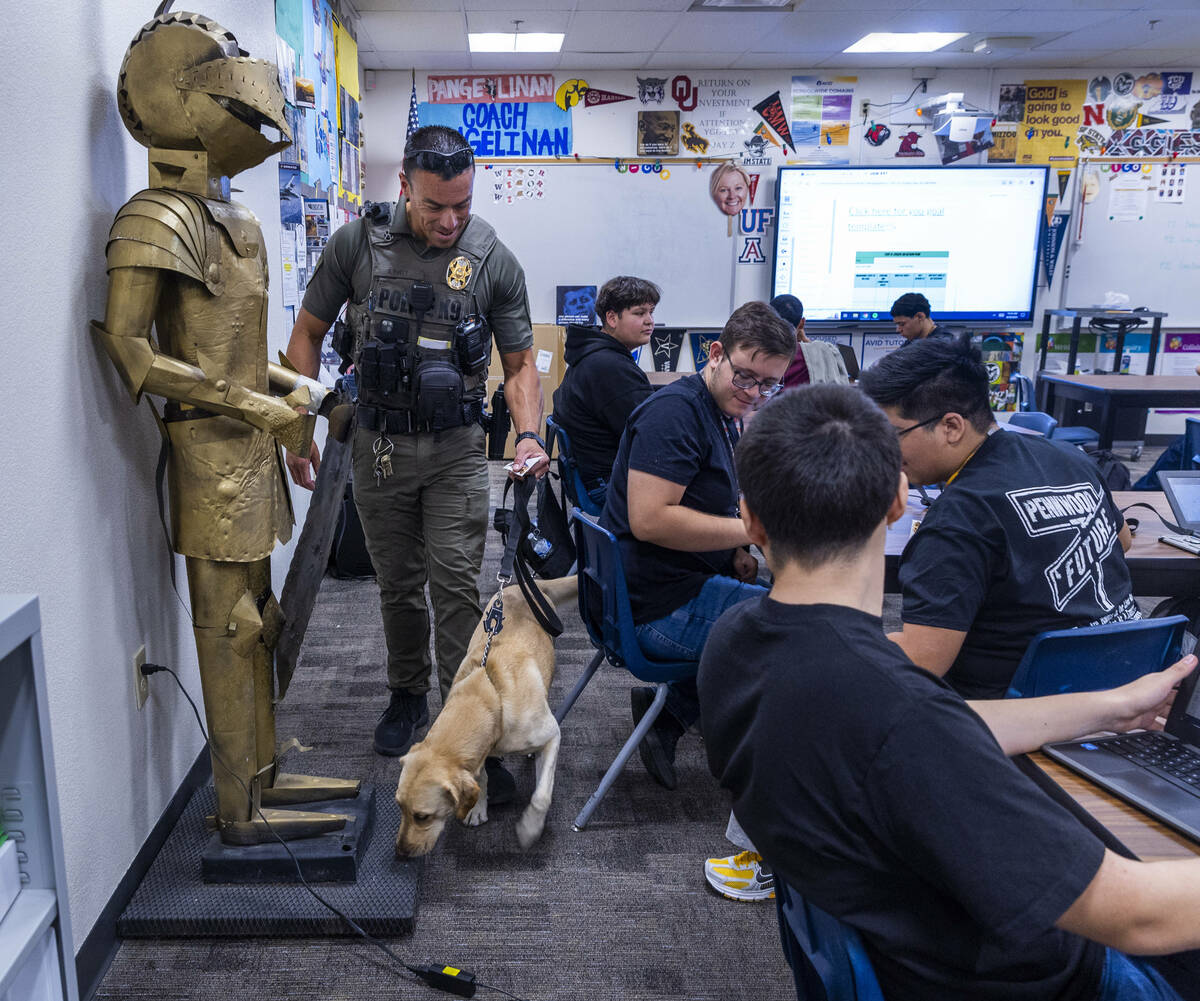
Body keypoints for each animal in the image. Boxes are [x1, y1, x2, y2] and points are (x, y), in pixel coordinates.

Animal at [393, 573, 576, 854]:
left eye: (422, 816)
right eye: (399, 806)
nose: (400, 852)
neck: (490, 695)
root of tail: (528, 586)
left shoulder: (552, 735)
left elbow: (542, 795)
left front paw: (530, 828)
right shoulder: (479, 751)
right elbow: (482, 776)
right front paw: (477, 809)